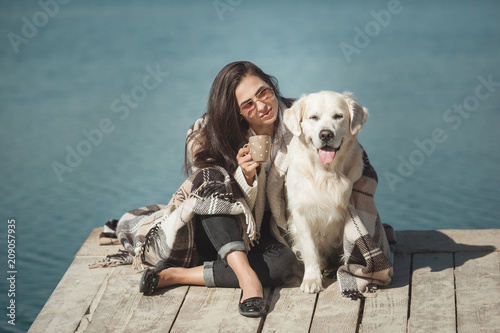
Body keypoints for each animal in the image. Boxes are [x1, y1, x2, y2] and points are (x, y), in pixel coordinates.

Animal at [284, 91, 370, 294]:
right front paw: (312, 280)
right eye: (313, 117)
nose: (325, 134)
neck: (327, 173)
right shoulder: (301, 214)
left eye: (338, 116)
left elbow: (348, 247)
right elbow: (310, 251)